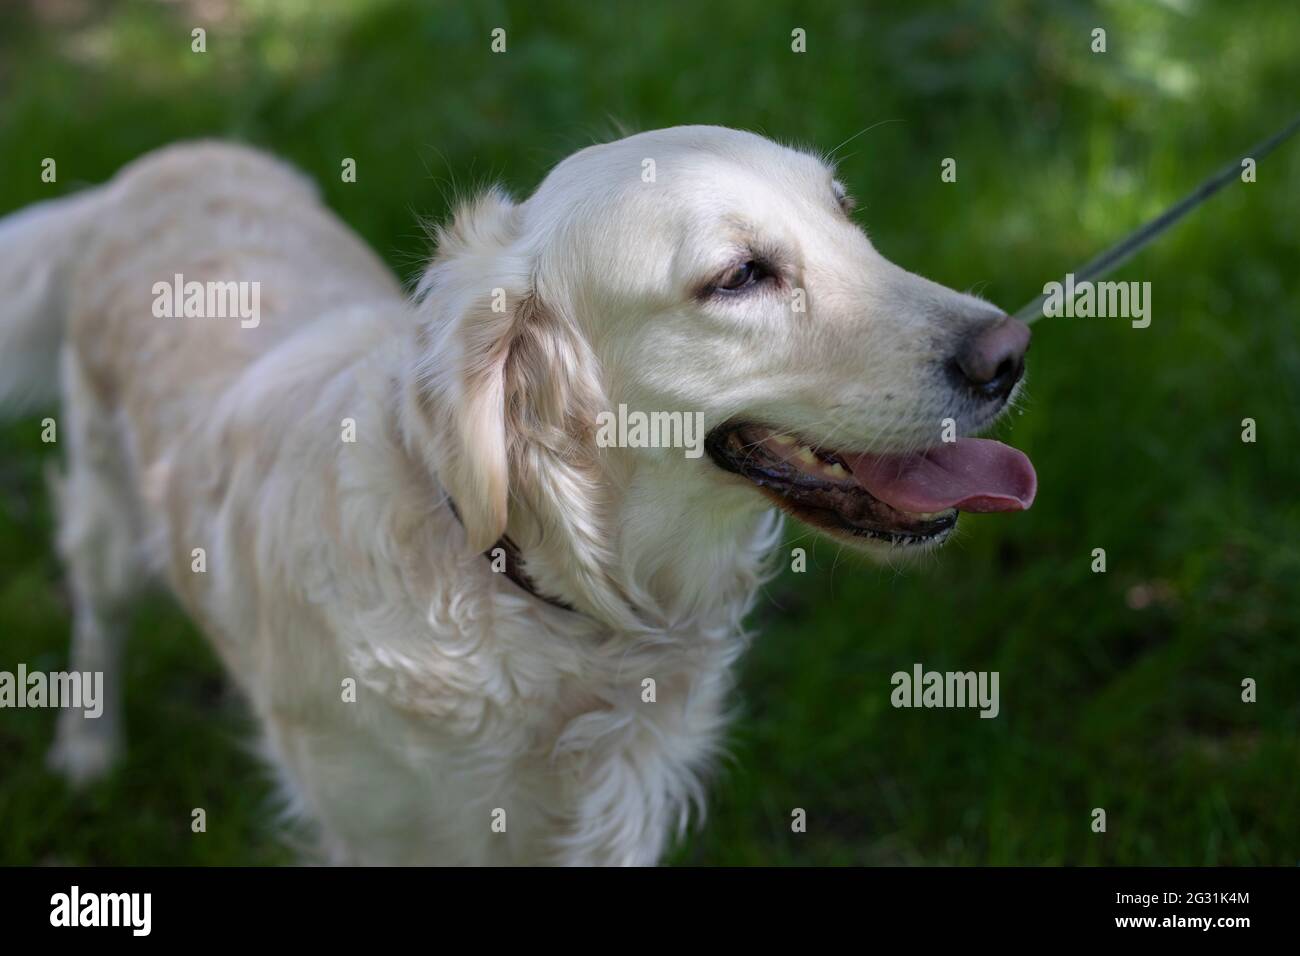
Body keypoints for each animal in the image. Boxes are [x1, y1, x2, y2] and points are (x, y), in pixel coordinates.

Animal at [0, 127, 1034, 868]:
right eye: (739, 276)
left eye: (847, 216)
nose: (1010, 353)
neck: (538, 589)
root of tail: (161, 165)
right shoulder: (380, 836)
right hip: (105, 507)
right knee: (98, 613)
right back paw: (87, 752)